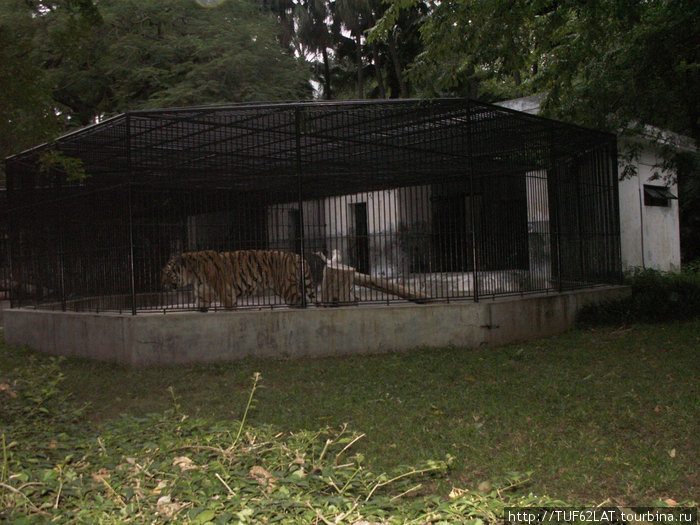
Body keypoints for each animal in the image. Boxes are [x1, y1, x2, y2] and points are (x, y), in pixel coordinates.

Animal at [161, 249, 314, 310]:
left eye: (167, 274)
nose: (162, 285)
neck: (192, 274)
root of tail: (297, 256)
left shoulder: (225, 291)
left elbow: (229, 306)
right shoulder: (203, 293)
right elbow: (200, 307)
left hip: (286, 287)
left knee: (300, 300)